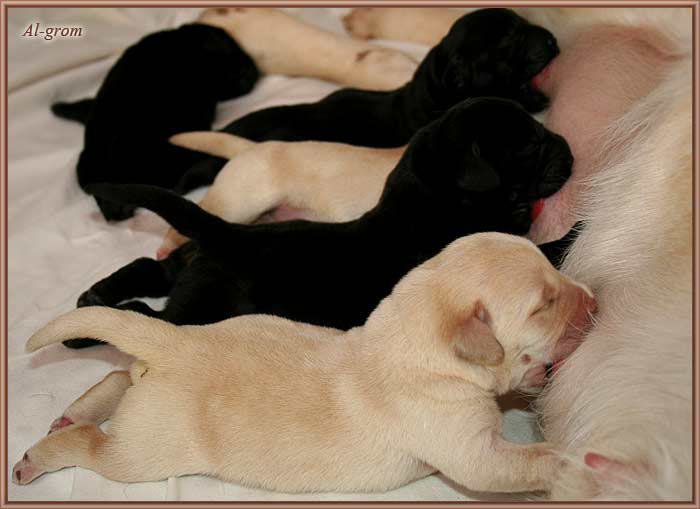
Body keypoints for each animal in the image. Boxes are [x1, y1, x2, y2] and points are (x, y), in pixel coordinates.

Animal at [10, 233, 596, 492]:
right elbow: (518, 463)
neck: (419, 350)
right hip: (146, 451)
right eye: (543, 304)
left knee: (116, 372)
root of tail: (173, 342)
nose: (595, 299)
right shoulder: (468, 449)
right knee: (95, 447)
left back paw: (76, 409)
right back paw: (42, 454)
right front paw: (575, 464)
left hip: (144, 391)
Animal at [61, 96, 576, 348]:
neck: (432, 200)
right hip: (200, 309)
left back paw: (92, 296)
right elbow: (545, 249)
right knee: (142, 315)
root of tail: (223, 231)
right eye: (532, 142)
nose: (570, 150)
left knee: (150, 267)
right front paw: (573, 230)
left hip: (192, 267)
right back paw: (87, 326)